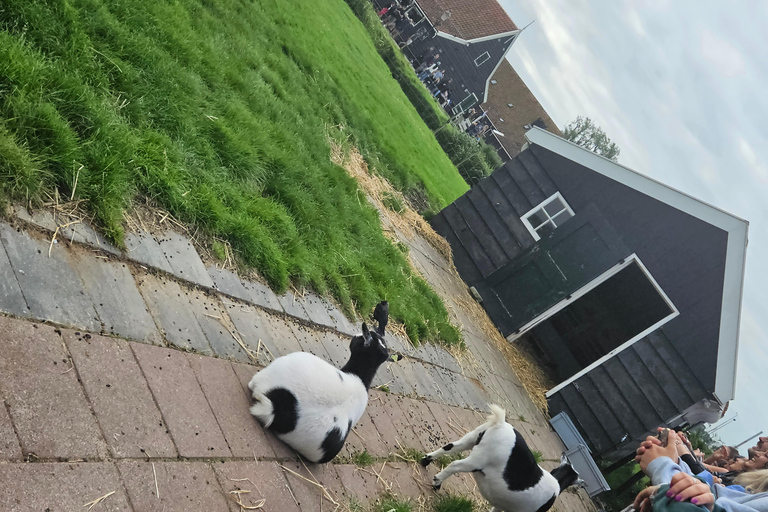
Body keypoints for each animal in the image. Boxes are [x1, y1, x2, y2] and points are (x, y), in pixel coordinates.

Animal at [420, 404, 584, 512]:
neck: (557, 482)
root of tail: (500, 424)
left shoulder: (500, 507)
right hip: (478, 458)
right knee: (455, 464)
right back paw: (437, 482)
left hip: (471, 438)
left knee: (449, 447)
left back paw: (425, 461)